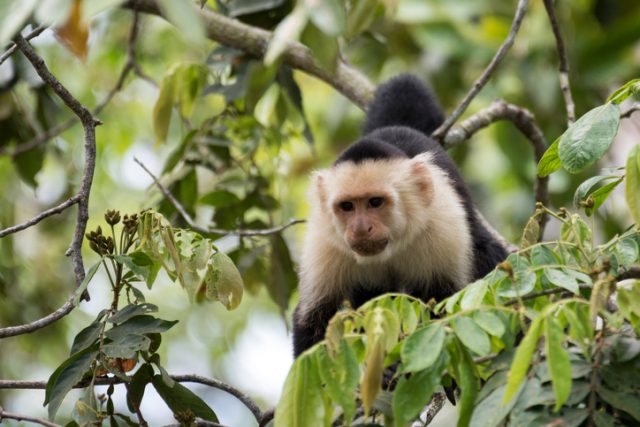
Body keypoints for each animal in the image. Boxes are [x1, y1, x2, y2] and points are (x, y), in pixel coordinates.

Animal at [292, 74, 508, 358]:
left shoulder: (443, 226)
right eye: (347, 206)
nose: (360, 228)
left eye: (375, 202)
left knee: (486, 251)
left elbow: (447, 300)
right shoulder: (325, 240)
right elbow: (312, 319)